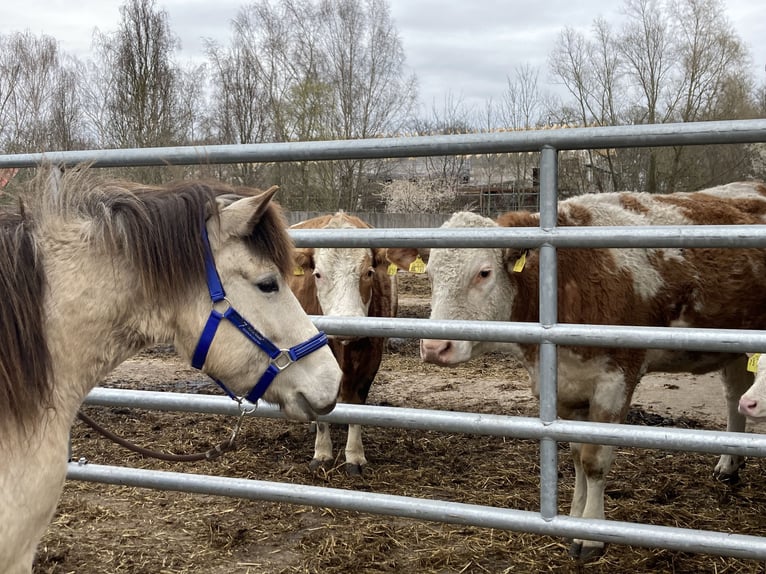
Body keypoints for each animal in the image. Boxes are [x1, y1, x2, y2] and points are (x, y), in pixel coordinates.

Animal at [286, 212, 400, 476]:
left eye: (369, 272)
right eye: (318, 274)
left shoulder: (371, 357)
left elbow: (357, 404)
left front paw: (355, 456)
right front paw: (322, 453)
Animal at [388, 183, 766, 564]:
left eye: (484, 273)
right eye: (430, 276)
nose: (435, 347)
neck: (566, 279)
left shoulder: (615, 380)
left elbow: (594, 461)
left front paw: (591, 536)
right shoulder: (565, 385)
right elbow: (575, 456)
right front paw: (573, 519)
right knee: (735, 394)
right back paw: (729, 464)